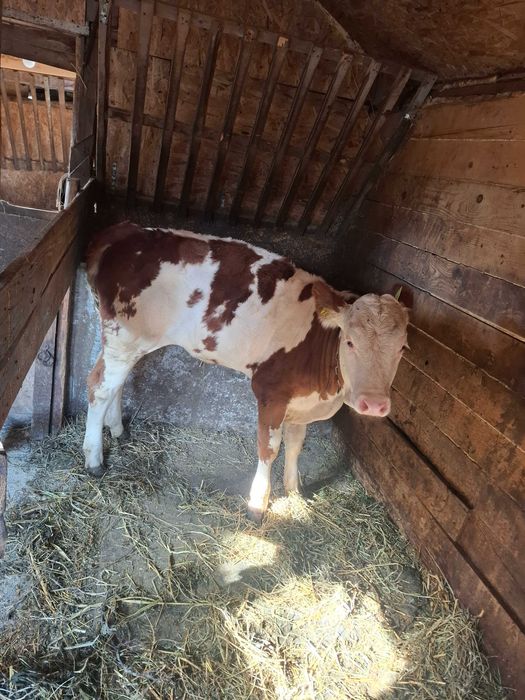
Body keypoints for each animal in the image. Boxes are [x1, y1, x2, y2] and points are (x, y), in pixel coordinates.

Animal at [83, 222, 409, 521]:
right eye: (350, 341)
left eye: (402, 349)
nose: (374, 404)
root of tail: (125, 229)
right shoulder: (271, 392)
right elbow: (269, 449)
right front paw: (257, 504)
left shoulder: (303, 404)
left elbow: (295, 445)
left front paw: (294, 491)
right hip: (125, 336)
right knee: (99, 387)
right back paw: (94, 459)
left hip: (127, 343)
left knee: (115, 384)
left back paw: (118, 430)